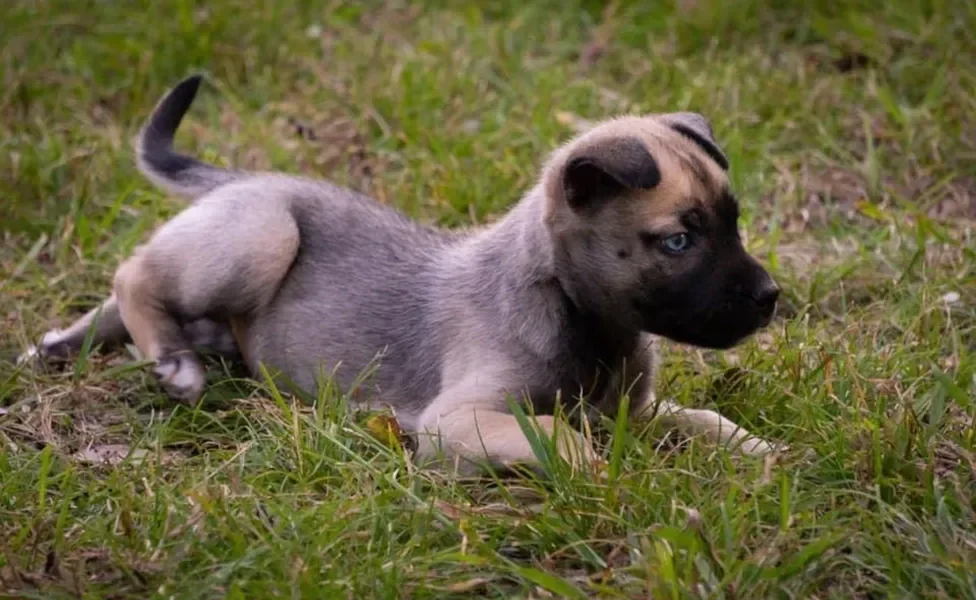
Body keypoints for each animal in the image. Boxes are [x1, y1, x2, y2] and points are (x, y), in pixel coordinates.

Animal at [24, 76, 784, 474]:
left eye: (735, 221)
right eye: (678, 240)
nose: (772, 298)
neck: (574, 311)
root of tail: (248, 178)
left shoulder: (639, 408)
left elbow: (706, 418)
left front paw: (761, 448)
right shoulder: (458, 421)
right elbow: (562, 436)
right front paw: (606, 472)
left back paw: (61, 344)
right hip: (263, 232)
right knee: (132, 275)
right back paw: (175, 363)